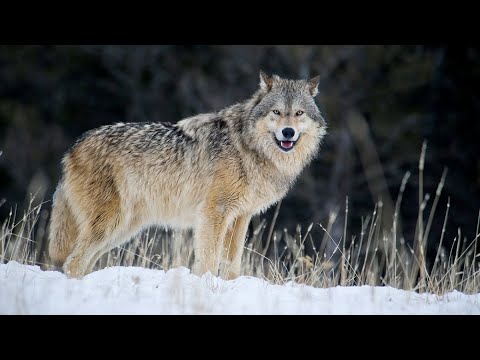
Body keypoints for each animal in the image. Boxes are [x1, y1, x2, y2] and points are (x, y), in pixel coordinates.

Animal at [48, 71, 326, 280]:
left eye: (299, 113)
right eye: (276, 112)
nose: (288, 132)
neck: (247, 147)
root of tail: (73, 147)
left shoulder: (240, 217)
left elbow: (232, 264)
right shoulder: (214, 212)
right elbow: (209, 259)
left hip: (122, 229)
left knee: (82, 262)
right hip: (110, 224)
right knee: (73, 262)